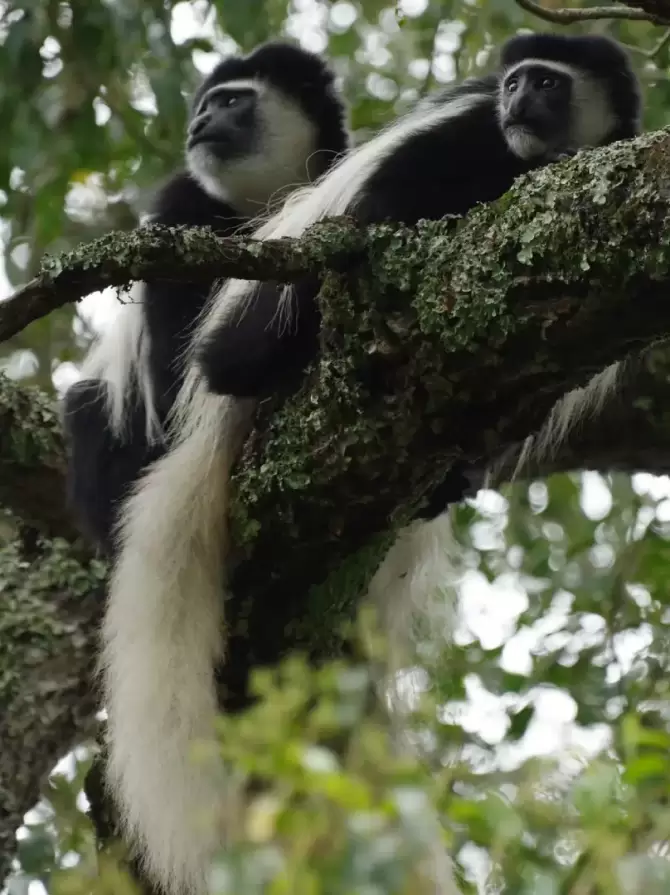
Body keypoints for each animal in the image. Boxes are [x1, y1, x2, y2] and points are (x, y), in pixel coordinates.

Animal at [61, 43, 352, 560]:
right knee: (90, 404)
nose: (199, 124)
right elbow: (175, 374)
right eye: (205, 106)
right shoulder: (182, 210)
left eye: (231, 101)